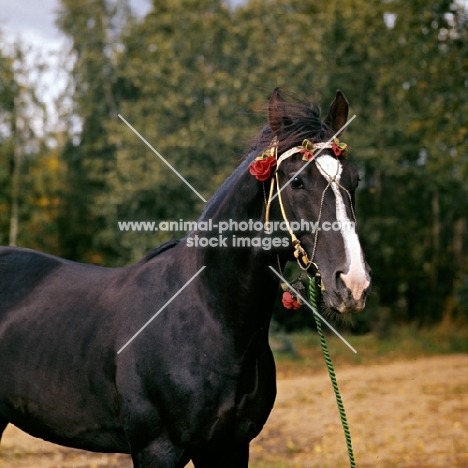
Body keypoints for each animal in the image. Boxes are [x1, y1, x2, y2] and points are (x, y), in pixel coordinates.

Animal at [1, 89, 372, 466]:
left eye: (354, 180)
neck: (209, 320)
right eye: (297, 182)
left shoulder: (229, 447)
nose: (353, 283)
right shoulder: (157, 449)